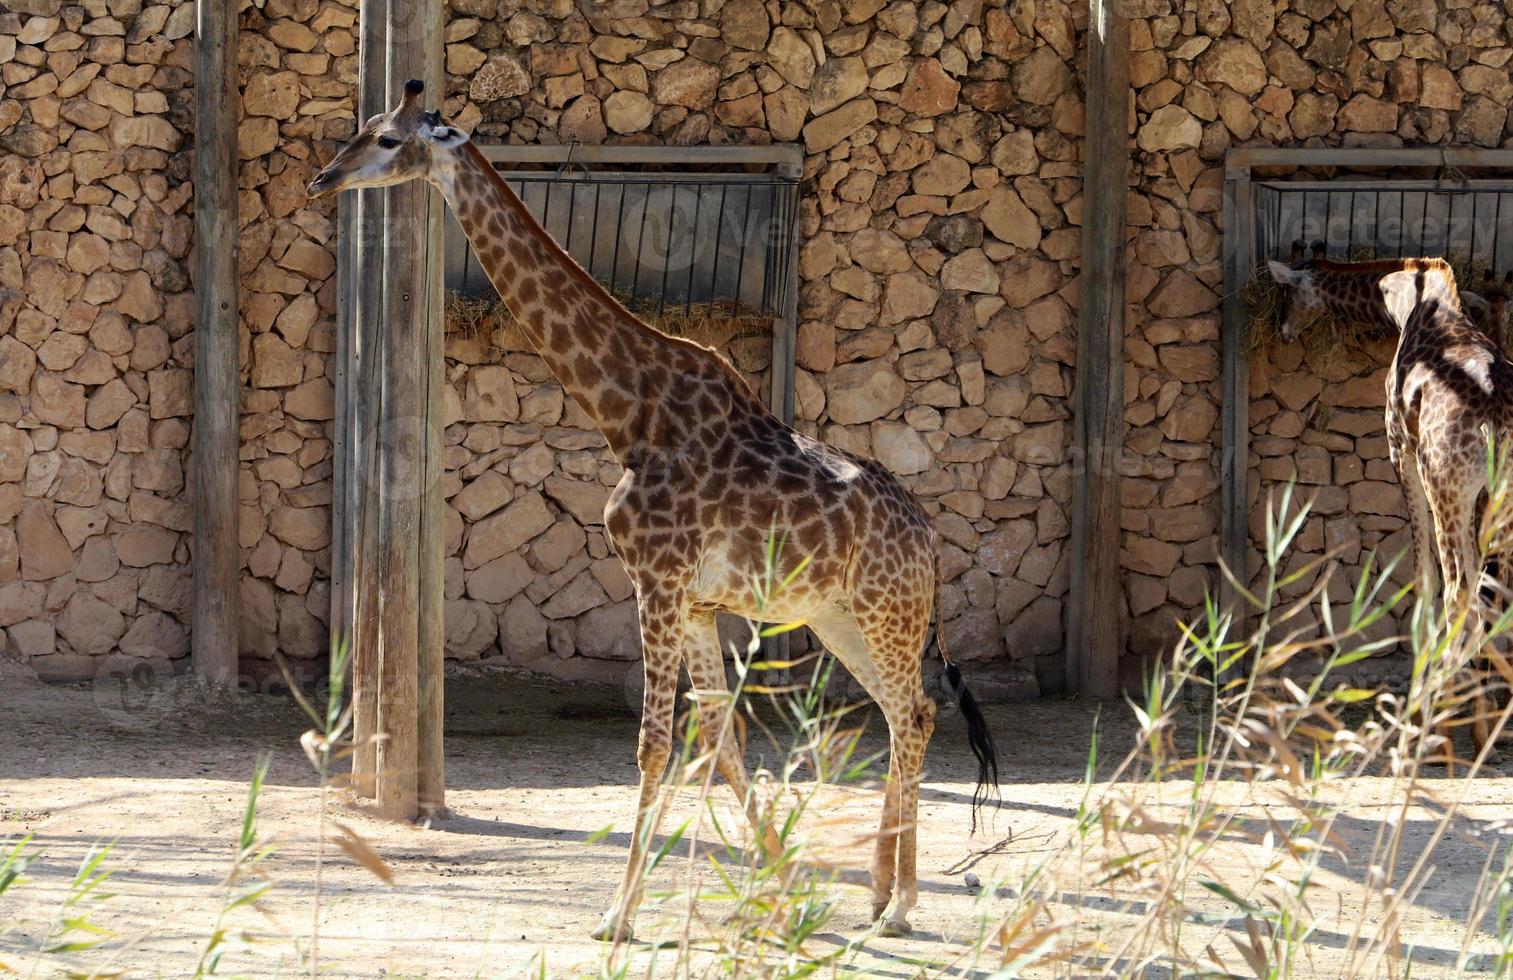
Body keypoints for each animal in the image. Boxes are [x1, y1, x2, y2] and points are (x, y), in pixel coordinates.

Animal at [308, 80, 998, 937]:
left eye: (387, 140)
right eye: (365, 127)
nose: (323, 180)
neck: (629, 413)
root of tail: (930, 541)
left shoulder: (658, 584)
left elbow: (654, 747)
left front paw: (618, 914)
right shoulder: (697, 603)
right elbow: (722, 740)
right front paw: (776, 898)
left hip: (884, 614)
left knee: (910, 713)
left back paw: (897, 904)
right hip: (841, 618)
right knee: (914, 712)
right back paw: (884, 899)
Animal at [1264, 254, 1513, 759]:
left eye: (1288, 292)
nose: (1284, 329)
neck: (1405, 301)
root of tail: (1496, 420)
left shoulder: (1401, 449)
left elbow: (1424, 581)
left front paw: (1425, 720)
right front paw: (1477, 727)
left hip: (1447, 487)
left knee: (1457, 593)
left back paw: (1438, 729)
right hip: (1493, 500)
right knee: (1490, 594)